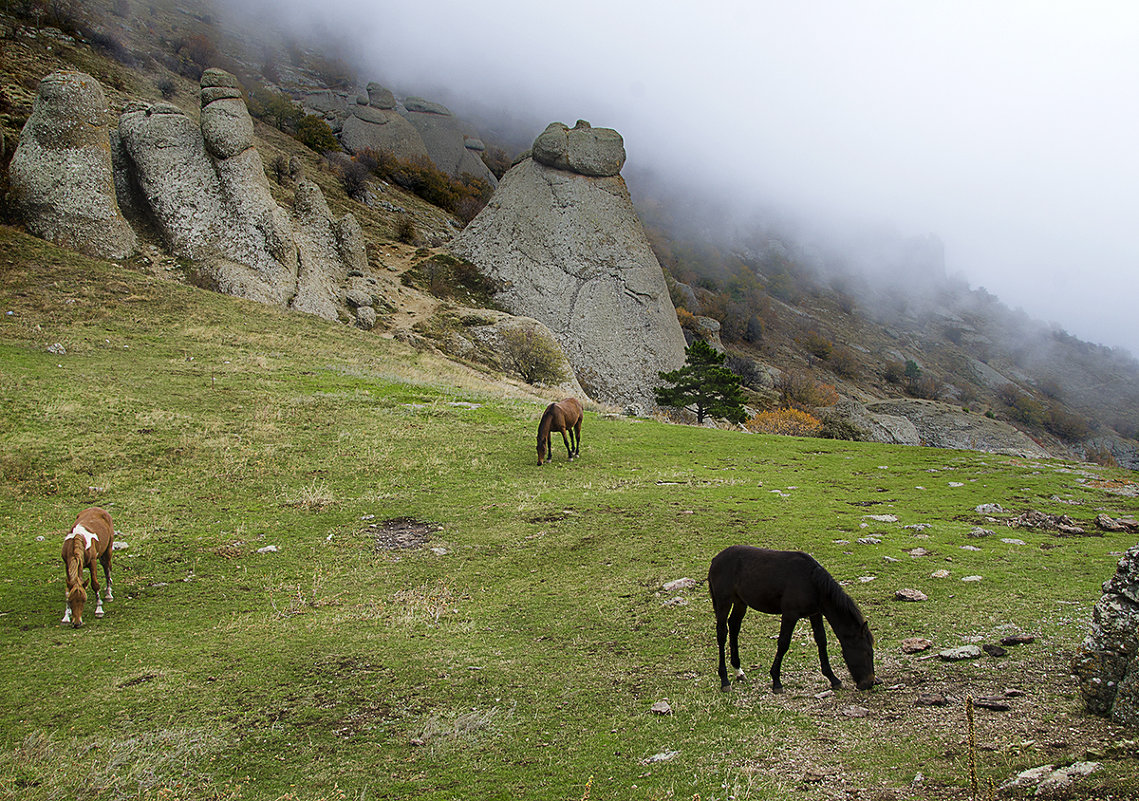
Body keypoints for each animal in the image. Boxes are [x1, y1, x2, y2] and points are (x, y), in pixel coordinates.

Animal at [706, 544, 874, 697]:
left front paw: (833, 678)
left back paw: (738, 671)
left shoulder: (815, 613)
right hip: (723, 602)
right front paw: (776, 681)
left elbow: (821, 640)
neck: (811, 582)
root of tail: (716, 559)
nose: (870, 683)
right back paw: (724, 680)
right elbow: (783, 643)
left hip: (740, 602)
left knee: (734, 627)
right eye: (866, 652)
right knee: (722, 633)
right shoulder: (790, 614)